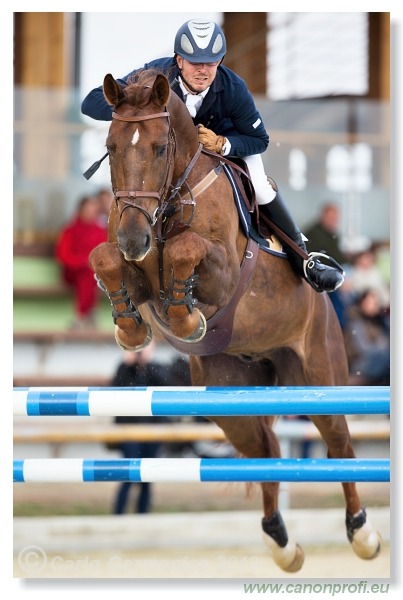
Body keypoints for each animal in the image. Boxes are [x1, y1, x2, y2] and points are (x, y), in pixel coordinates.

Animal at [90, 70, 384, 572]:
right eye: (110, 146)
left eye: (161, 149)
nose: (133, 239)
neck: (168, 206)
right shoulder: (135, 265)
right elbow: (104, 258)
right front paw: (130, 327)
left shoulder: (223, 272)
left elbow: (186, 251)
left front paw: (185, 319)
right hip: (231, 400)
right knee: (266, 450)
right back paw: (281, 543)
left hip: (317, 374)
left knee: (340, 443)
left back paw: (362, 533)